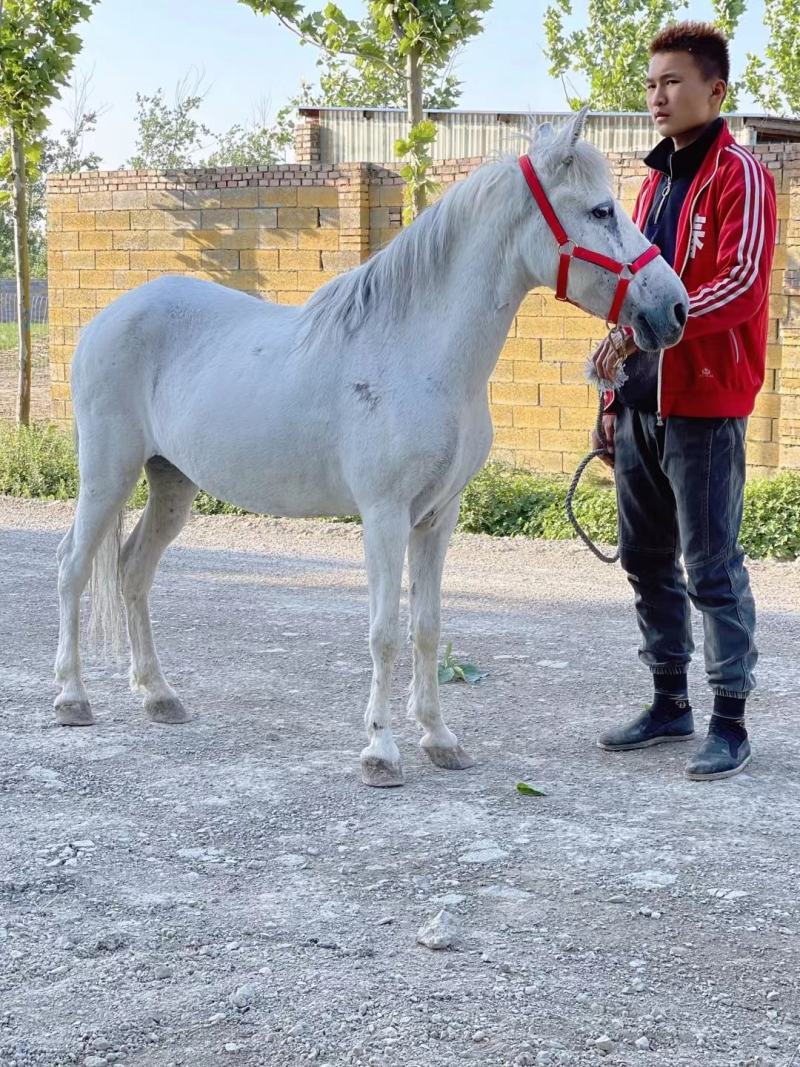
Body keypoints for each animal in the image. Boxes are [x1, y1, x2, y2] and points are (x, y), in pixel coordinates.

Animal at [54, 108, 688, 787]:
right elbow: (385, 631)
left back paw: (158, 695)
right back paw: (71, 699)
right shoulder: (384, 516)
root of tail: (104, 319)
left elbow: (427, 628)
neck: (418, 352)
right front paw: (381, 752)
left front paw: (439, 738)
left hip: (171, 482)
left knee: (132, 571)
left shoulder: (438, 517)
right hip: (107, 474)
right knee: (73, 567)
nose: (674, 307)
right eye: (600, 211)